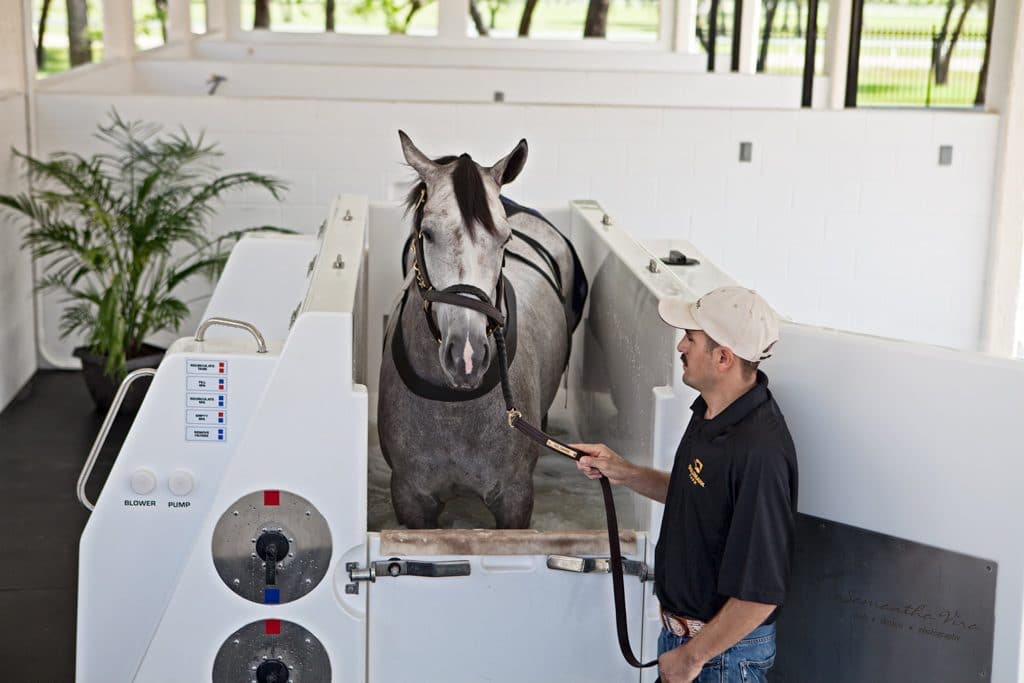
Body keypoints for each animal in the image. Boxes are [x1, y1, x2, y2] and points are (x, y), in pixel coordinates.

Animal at [377, 131, 587, 529]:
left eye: (505, 239)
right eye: (427, 233)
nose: (467, 356)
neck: (454, 407)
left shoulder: (515, 500)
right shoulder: (411, 498)